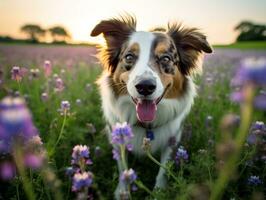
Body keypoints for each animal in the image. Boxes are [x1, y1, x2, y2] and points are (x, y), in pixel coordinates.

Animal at [90, 15, 213, 197]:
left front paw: (160, 191)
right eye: (129, 57)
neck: (146, 125)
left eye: (166, 58)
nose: (145, 86)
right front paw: (123, 191)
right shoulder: (118, 139)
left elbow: (164, 170)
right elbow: (123, 167)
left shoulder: (172, 140)